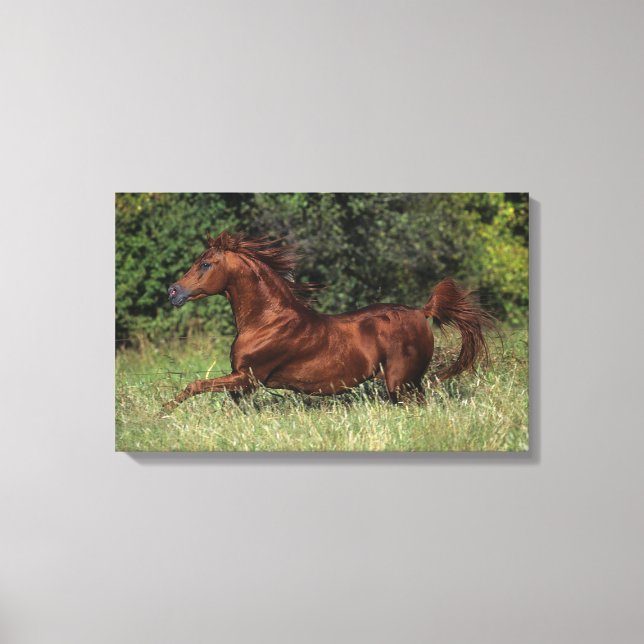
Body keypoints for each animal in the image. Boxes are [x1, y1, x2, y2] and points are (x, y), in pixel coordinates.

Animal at [163, 231, 495, 412]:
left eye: (205, 264)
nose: (173, 292)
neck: (267, 321)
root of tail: (421, 312)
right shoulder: (242, 383)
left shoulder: (249, 377)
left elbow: (194, 385)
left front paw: (162, 413)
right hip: (408, 384)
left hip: (401, 383)